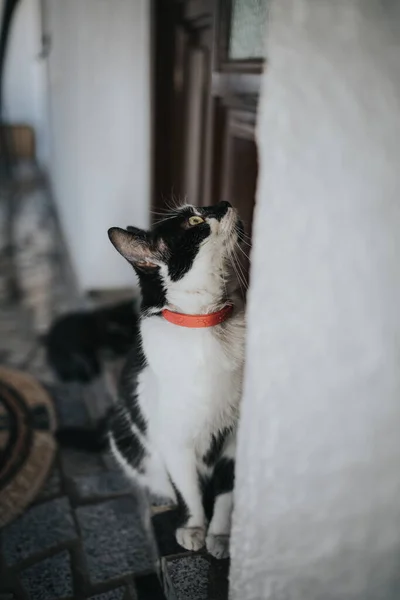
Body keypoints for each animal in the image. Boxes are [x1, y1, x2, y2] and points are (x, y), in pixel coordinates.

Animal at [108, 200, 245, 556]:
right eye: (195, 221)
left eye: (209, 205)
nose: (225, 202)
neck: (207, 324)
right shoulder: (173, 441)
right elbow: (188, 490)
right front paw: (193, 528)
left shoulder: (234, 438)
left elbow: (226, 492)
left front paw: (220, 537)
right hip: (122, 433)